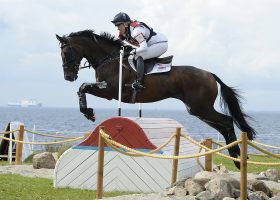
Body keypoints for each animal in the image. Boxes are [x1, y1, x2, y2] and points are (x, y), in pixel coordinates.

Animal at [56, 28, 256, 168]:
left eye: (66, 53)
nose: (68, 77)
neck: (108, 59)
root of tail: (210, 74)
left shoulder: (109, 91)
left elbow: (83, 87)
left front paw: (88, 112)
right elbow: (82, 88)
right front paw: (87, 112)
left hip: (201, 108)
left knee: (227, 121)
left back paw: (238, 158)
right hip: (198, 110)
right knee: (223, 126)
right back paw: (238, 157)